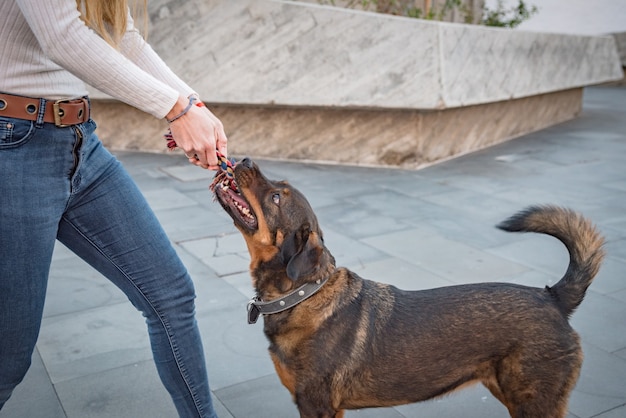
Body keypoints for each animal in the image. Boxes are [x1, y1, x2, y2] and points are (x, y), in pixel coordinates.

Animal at [212, 158, 604, 418]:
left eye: (276, 197)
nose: (243, 160)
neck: (303, 294)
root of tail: (552, 297)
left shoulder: (317, 406)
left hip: (533, 402)